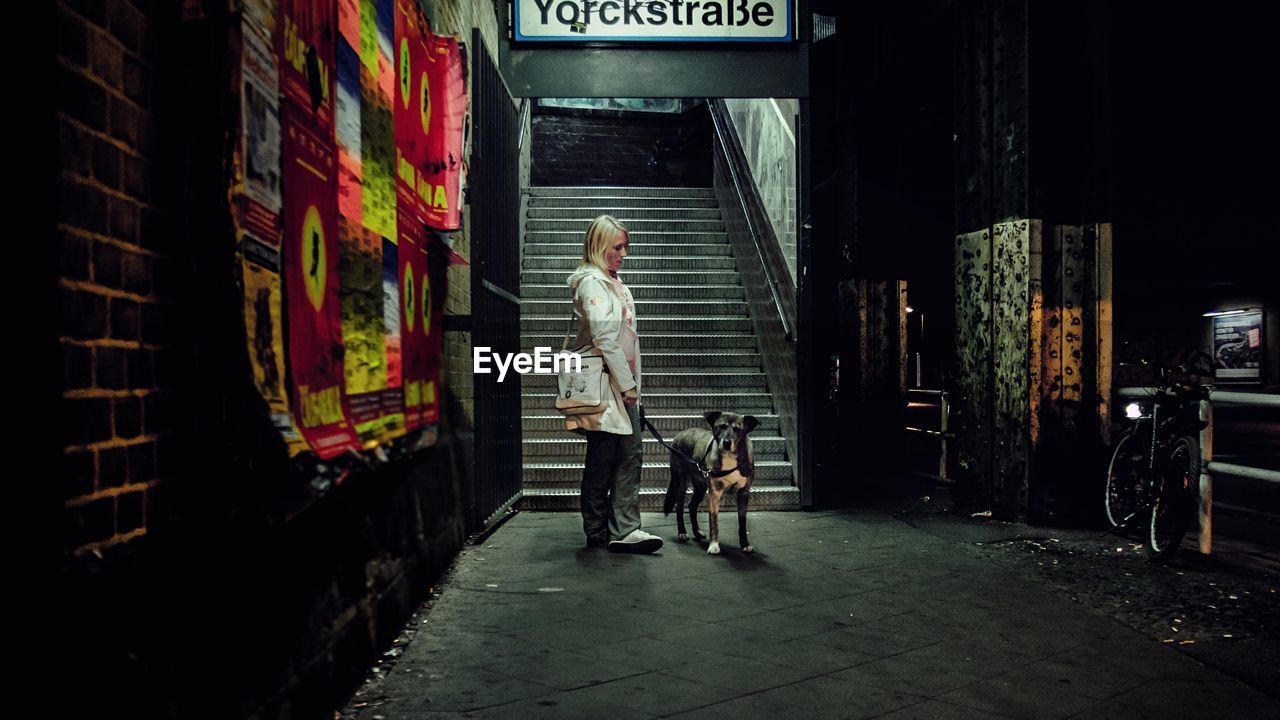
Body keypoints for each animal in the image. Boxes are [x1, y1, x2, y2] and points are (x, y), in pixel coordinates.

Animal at [660, 409, 757, 556]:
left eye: (737, 429)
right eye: (721, 426)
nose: (727, 442)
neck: (730, 457)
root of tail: (681, 433)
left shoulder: (743, 493)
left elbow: (742, 523)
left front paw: (745, 545)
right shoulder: (714, 494)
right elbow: (714, 523)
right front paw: (714, 546)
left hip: (700, 487)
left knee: (692, 506)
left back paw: (697, 532)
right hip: (681, 481)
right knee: (679, 506)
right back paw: (682, 532)